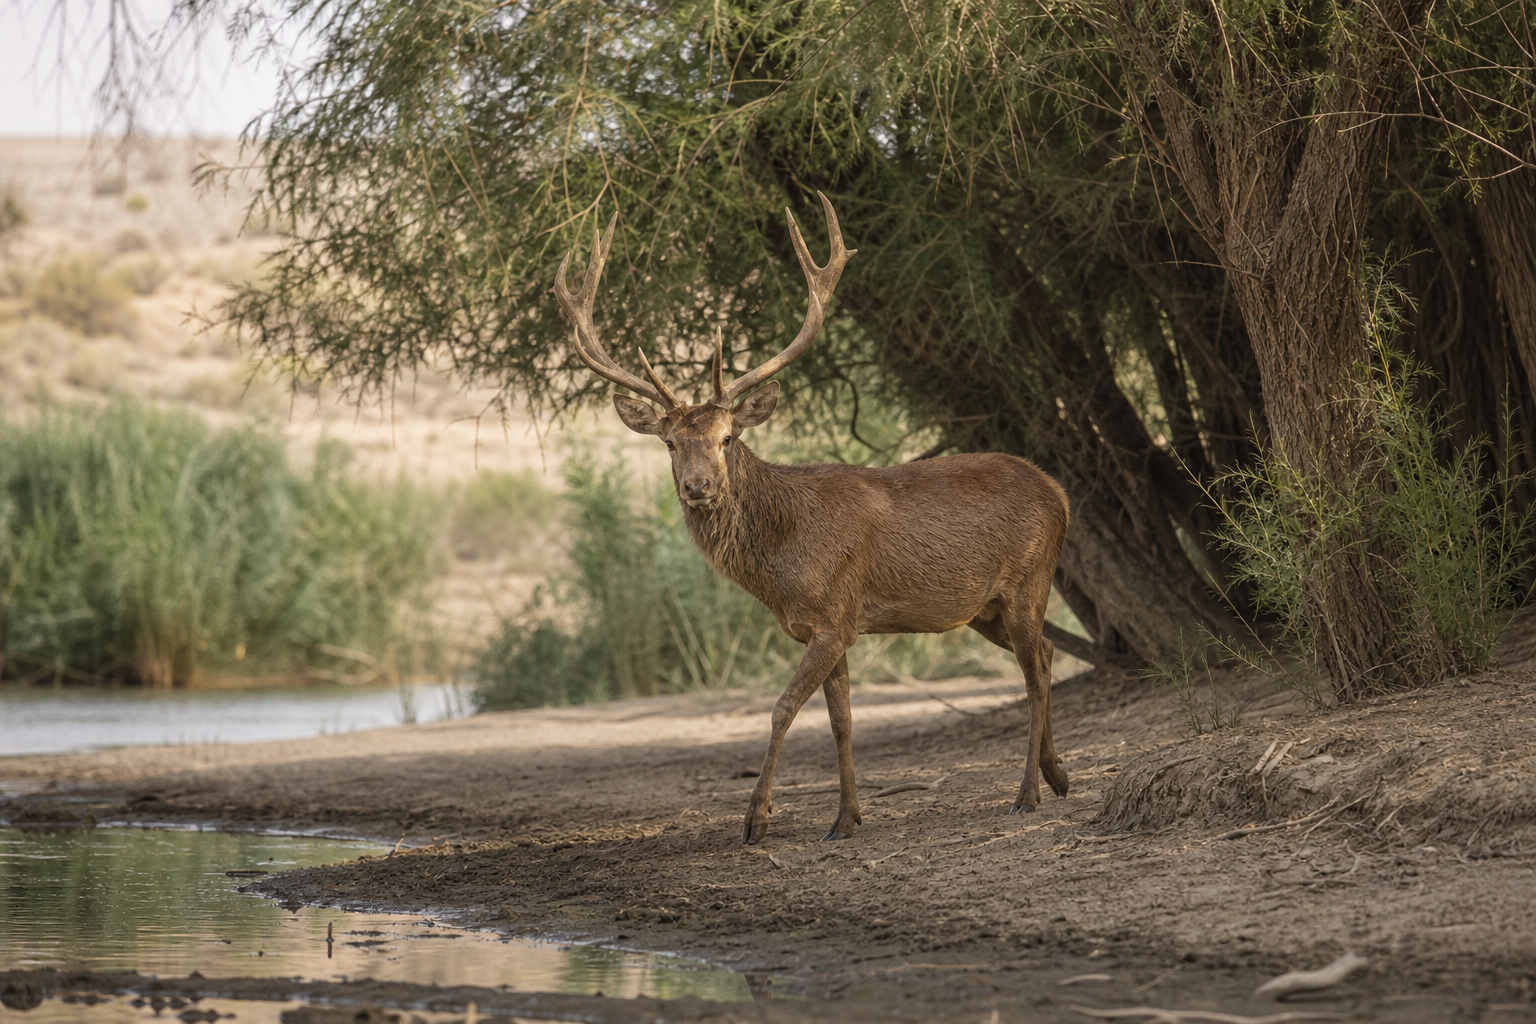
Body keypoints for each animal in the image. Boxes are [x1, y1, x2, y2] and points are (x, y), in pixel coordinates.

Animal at [553, 194, 1071, 844]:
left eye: (727, 438)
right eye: (670, 443)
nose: (699, 487)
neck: (783, 565)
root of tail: (1061, 494)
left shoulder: (833, 617)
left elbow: (782, 708)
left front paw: (756, 819)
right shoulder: (830, 626)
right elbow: (841, 721)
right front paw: (846, 817)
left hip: (1029, 579)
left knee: (1033, 674)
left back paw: (1027, 793)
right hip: (984, 608)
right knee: (1047, 654)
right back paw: (1057, 775)